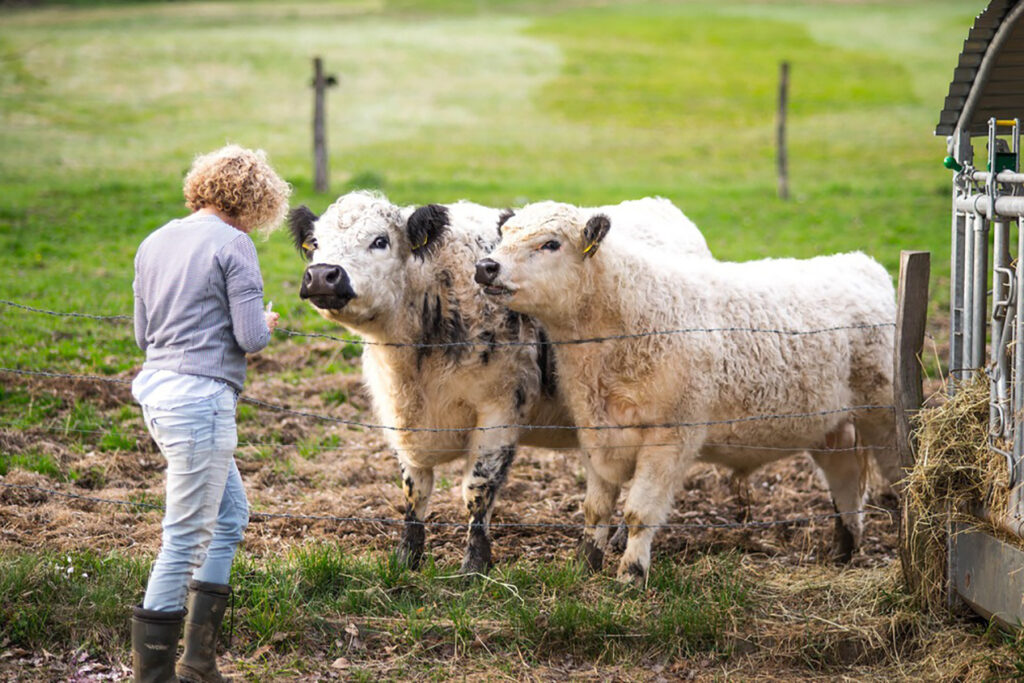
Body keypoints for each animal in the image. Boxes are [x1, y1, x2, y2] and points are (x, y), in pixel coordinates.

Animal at [288, 189, 712, 573]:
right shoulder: (399, 418)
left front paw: (474, 565)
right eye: (316, 244)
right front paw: (407, 558)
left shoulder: (498, 411)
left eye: (380, 240)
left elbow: (477, 490)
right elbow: (415, 490)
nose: (323, 275)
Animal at [475, 200, 901, 585]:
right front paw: (584, 566)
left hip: (884, 416)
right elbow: (596, 509)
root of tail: (861, 263)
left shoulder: (671, 437)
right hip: (830, 427)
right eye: (503, 236)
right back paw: (842, 552)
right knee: (845, 479)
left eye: (550, 243)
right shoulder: (595, 432)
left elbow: (638, 513)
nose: (486, 267)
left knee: (895, 480)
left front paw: (630, 575)